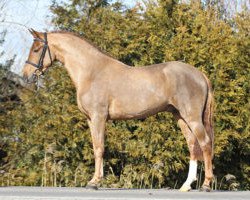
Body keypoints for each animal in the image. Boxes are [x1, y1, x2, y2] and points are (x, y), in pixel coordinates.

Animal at [22, 28, 214, 191]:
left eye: (37, 49)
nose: (26, 76)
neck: (91, 71)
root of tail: (200, 74)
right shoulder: (91, 120)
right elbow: (95, 147)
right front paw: (96, 179)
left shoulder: (98, 117)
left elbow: (99, 148)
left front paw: (94, 182)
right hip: (180, 117)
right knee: (192, 145)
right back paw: (186, 185)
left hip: (192, 118)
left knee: (205, 143)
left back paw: (206, 184)